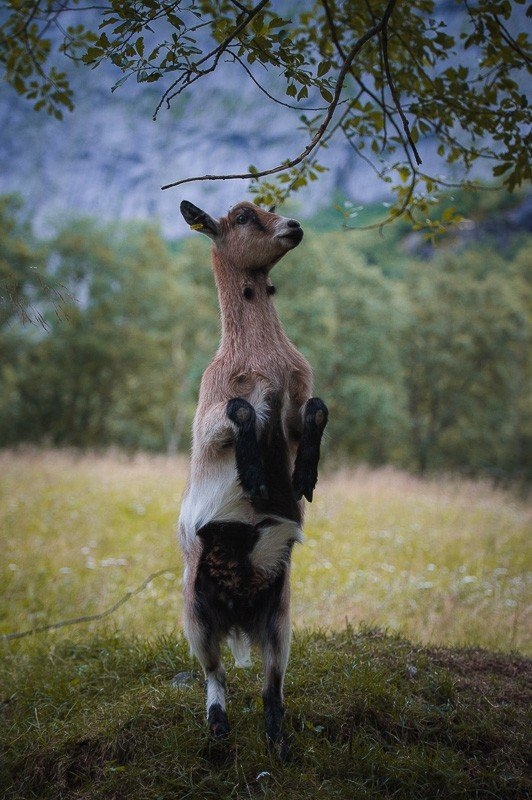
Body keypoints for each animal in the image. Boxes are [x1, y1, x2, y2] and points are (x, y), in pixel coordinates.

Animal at [179, 198, 328, 756]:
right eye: (242, 216)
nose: (295, 226)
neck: (264, 361)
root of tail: (239, 614)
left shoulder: (297, 397)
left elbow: (317, 409)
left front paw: (304, 474)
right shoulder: (209, 414)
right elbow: (241, 409)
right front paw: (252, 475)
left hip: (279, 618)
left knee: (271, 685)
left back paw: (278, 742)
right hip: (196, 613)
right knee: (214, 671)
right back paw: (218, 727)